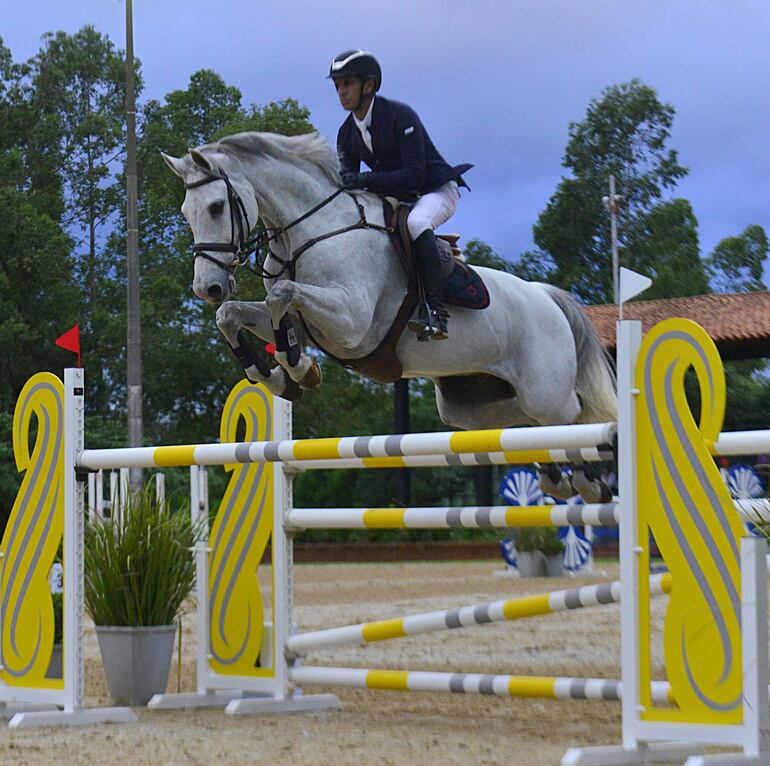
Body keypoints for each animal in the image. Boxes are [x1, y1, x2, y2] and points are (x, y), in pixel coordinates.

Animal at [164, 133, 616, 504]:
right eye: (186, 212)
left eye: (217, 207)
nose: (207, 288)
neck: (312, 231)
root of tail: (546, 296)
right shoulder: (309, 322)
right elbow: (233, 315)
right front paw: (277, 375)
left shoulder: (350, 324)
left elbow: (281, 295)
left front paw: (296, 368)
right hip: (469, 406)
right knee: (527, 424)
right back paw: (556, 475)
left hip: (546, 391)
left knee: (576, 415)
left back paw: (591, 477)